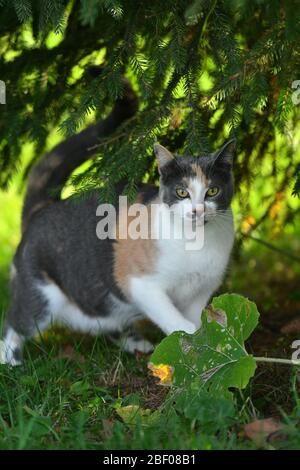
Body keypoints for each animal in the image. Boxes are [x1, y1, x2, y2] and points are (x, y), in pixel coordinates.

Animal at [0, 81, 234, 368]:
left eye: (212, 191)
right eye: (182, 192)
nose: (197, 210)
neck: (196, 243)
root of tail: (43, 207)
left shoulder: (201, 291)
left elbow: (199, 324)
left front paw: (206, 353)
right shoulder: (142, 286)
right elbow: (179, 324)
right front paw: (194, 345)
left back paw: (135, 343)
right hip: (40, 294)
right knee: (17, 320)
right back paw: (10, 360)